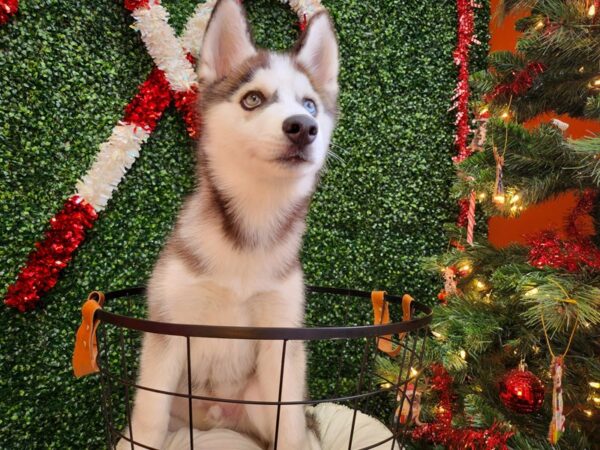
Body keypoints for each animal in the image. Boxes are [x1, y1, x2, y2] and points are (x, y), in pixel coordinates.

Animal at [119, 1, 340, 448]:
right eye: (253, 99)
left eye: (310, 105)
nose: (303, 127)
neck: (251, 230)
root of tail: (214, 420)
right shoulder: (167, 330)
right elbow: (148, 420)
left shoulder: (282, 340)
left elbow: (291, 429)